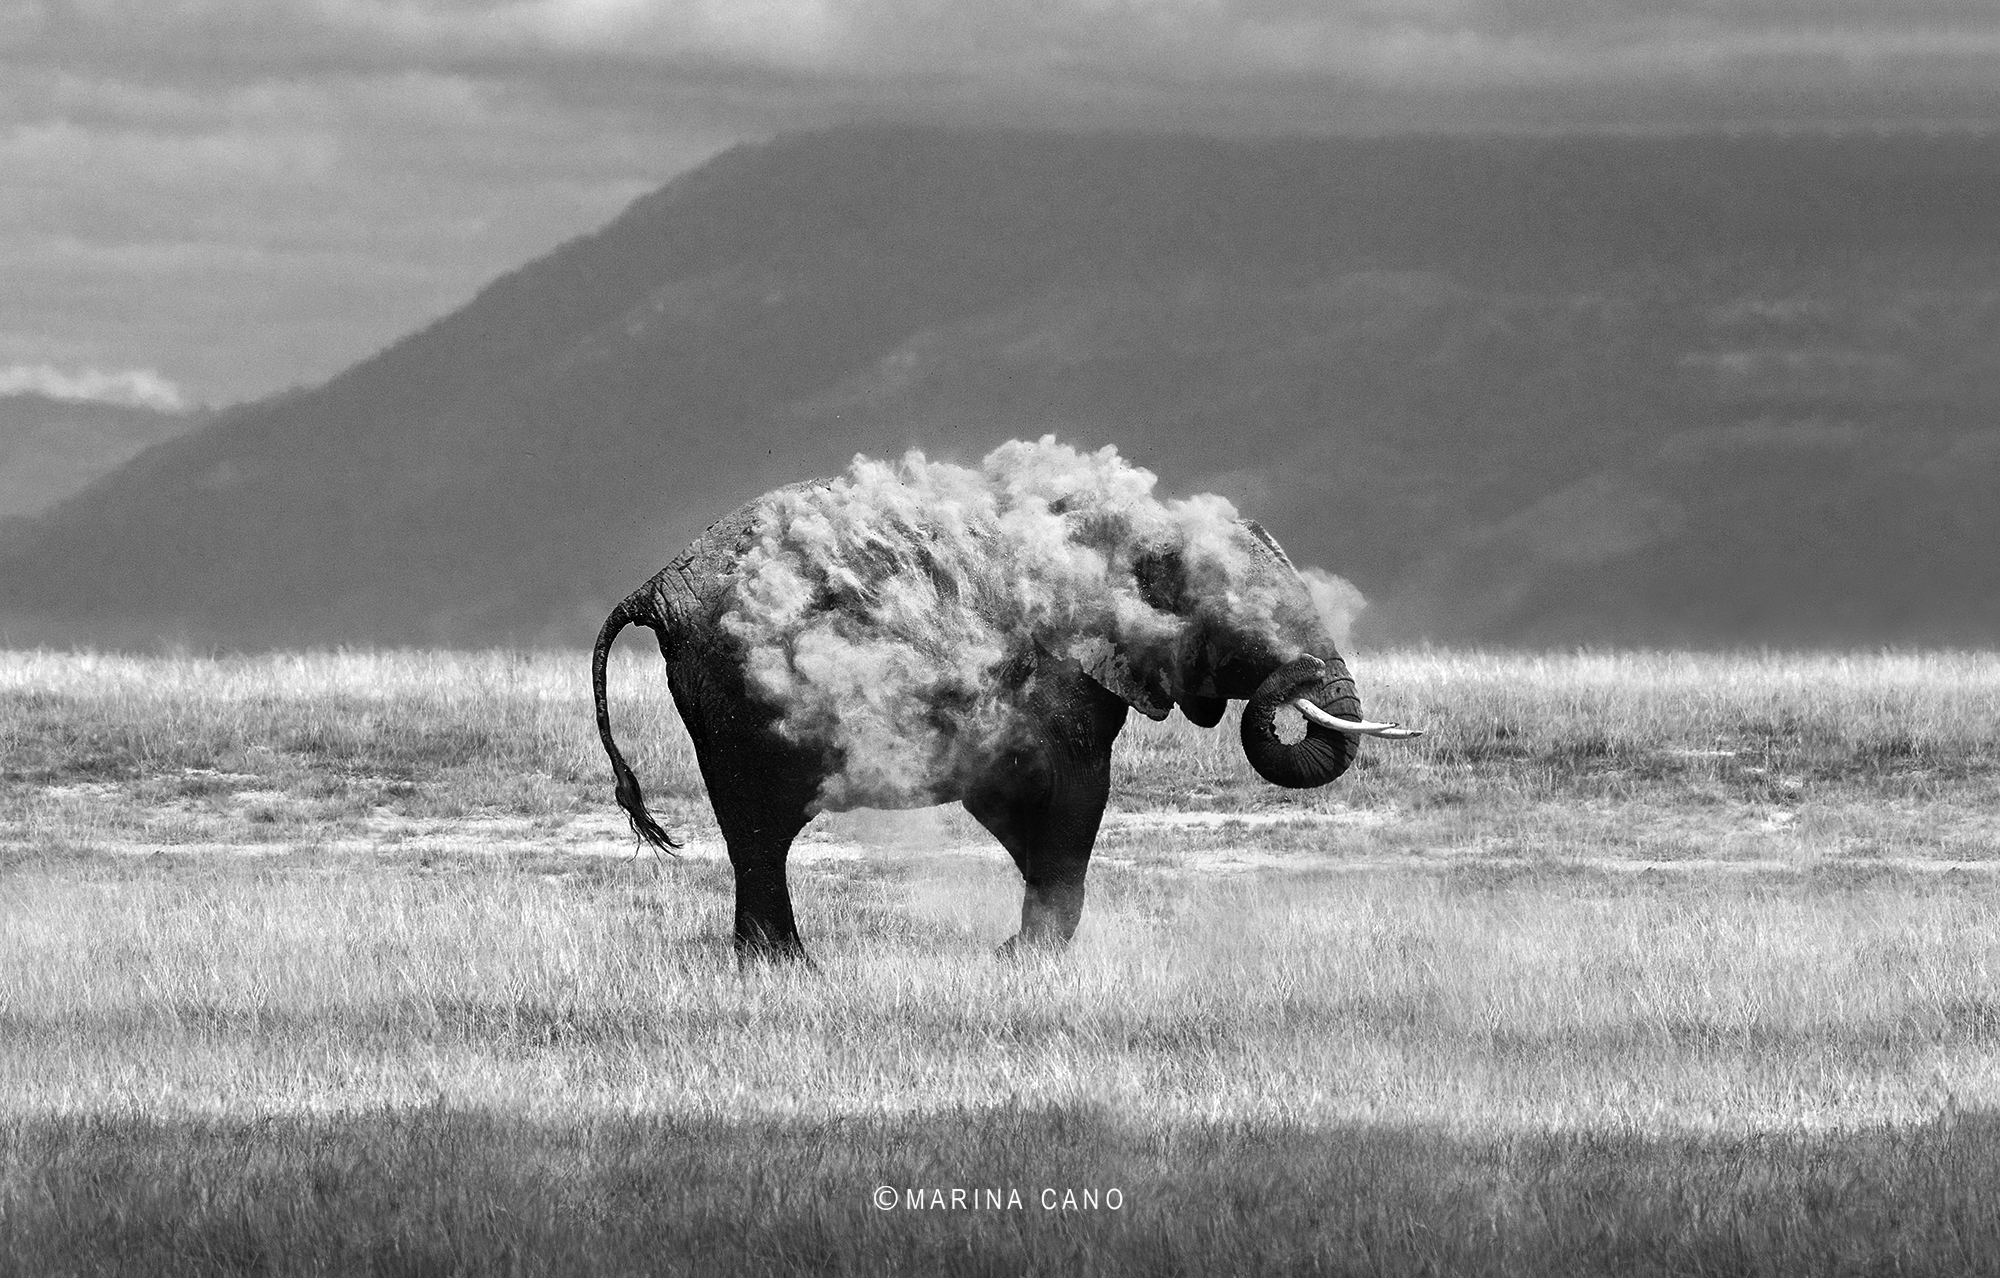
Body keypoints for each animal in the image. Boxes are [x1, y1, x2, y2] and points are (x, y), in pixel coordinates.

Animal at [584, 440, 1416, 960]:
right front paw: (1024, 960)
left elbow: (1016, 811)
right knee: (760, 832)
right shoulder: (1059, 680)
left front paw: (1013, 952)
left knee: (755, 835)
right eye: (1246, 624)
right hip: (737, 695)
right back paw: (790, 972)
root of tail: (657, 587)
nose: (1288, 680)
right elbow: (1075, 799)